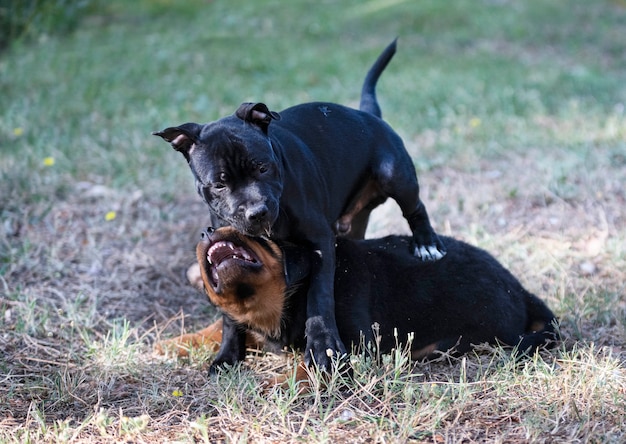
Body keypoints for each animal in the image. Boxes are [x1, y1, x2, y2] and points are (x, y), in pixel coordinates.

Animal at [151, 40, 444, 372]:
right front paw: (228, 354)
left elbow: (320, 295)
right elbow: (229, 312)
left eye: (262, 167)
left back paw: (426, 243)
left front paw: (323, 347)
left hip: (394, 173)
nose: (256, 212)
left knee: (415, 208)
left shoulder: (320, 243)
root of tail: (366, 113)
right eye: (219, 184)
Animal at [157, 225, 556, 378]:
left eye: (249, 230)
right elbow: (216, 327)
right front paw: (170, 342)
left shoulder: (353, 344)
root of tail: (522, 291)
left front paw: (280, 382)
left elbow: (311, 363)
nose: (207, 230)